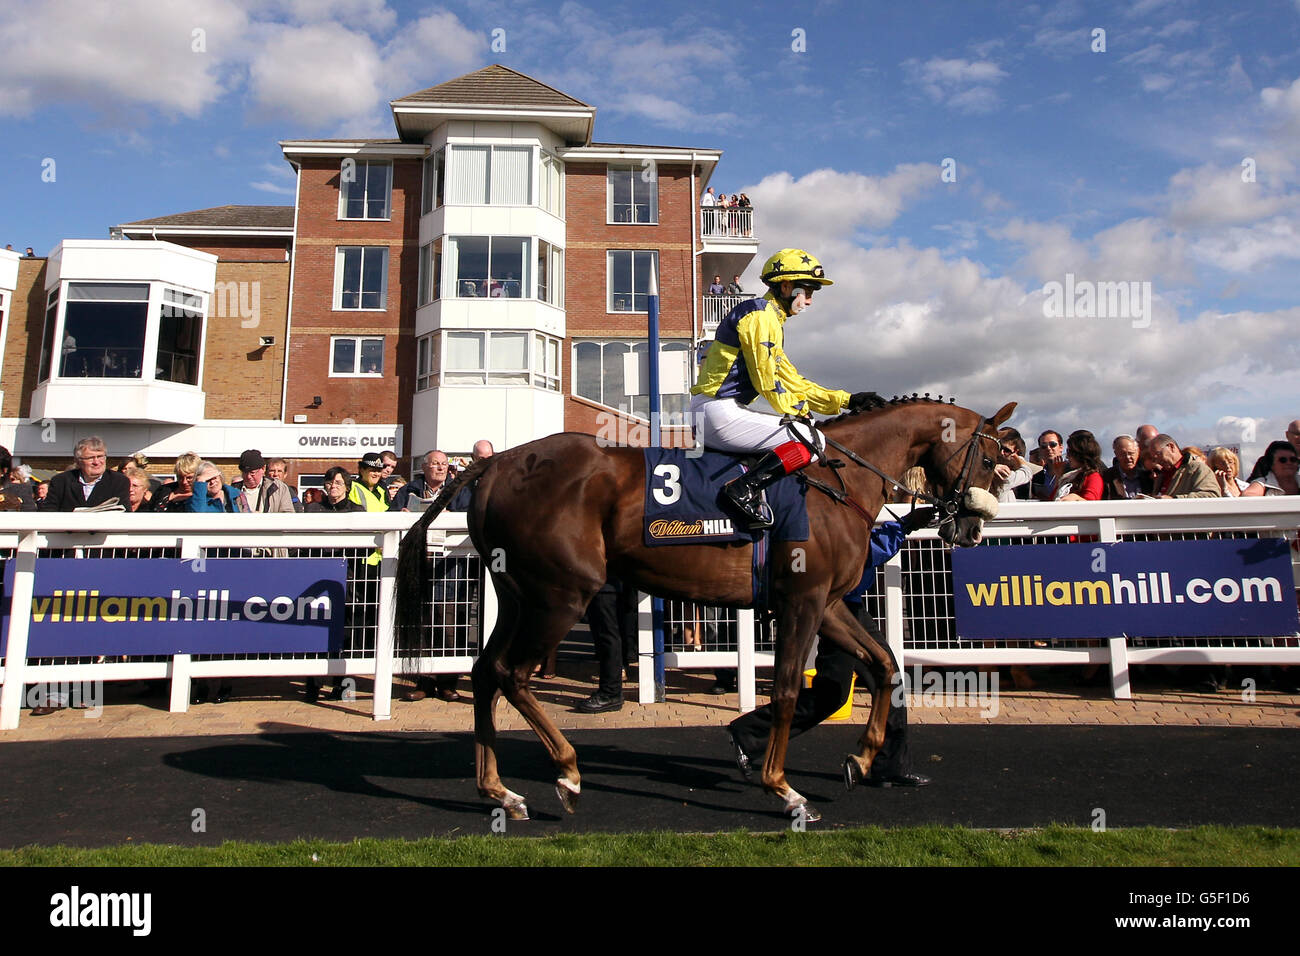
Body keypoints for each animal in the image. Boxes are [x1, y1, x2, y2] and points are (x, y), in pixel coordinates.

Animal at [390, 400, 1008, 816]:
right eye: (992, 459)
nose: (971, 528)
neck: (837, 480)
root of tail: (495, 465)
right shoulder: (802, 601)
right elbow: (788, 691)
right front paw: (783, 789)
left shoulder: (829, 603)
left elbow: (883, 665)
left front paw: (860, 759)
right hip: (562, 594)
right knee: (514, 675)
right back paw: (566, 772)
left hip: (519, 594)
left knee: (486, 672)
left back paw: (498, 789)